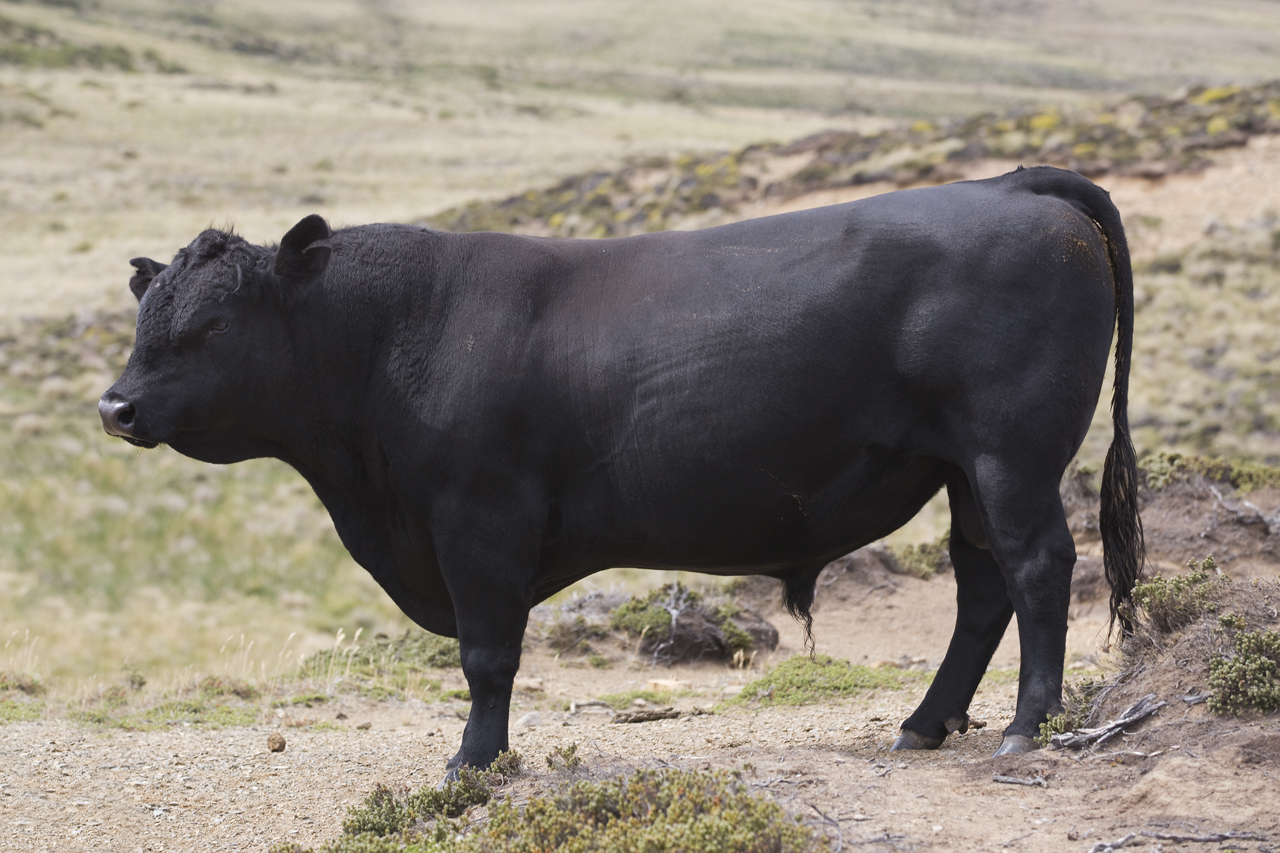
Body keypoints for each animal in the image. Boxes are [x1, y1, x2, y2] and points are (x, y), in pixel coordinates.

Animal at [97, 166, 1141, 768]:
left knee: (1038, 568)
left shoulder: (480, 519)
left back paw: (1027, 724)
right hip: (962, 468)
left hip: (1010, 455)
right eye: (146, 314)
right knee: (982, 583)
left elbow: (487, 656)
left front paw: (475, 763)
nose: (116, 406)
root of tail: (1013, 187)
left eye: (214, 323)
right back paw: (927, 720)